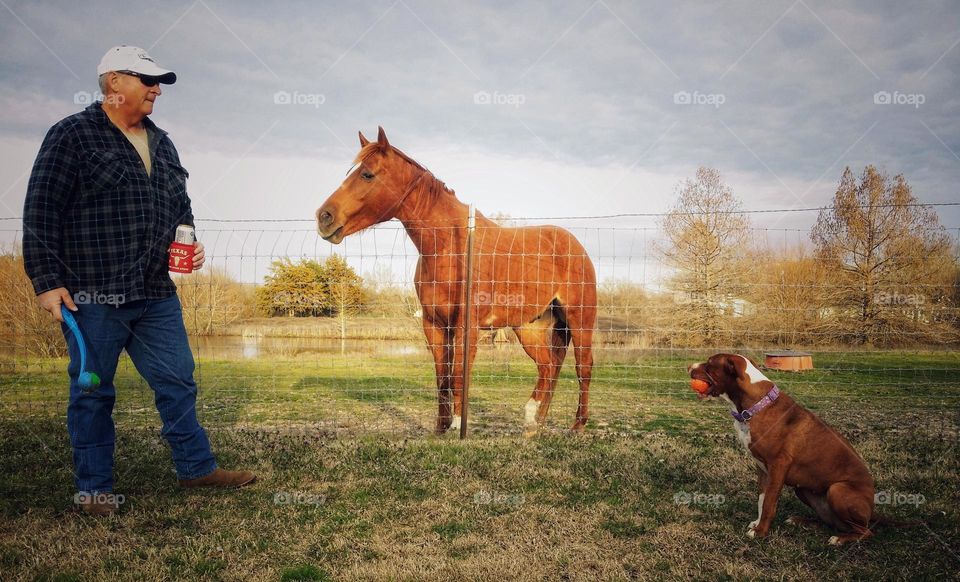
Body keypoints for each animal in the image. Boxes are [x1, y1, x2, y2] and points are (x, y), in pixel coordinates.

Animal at [318, 128, 596, 438]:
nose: (324, 217)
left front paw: (457, 428)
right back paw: (534, 424)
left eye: (367, 174)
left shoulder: (466, 328)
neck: (449, 245)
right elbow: (443, 377)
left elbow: (458, 376)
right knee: (548, 368)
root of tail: (575, 246)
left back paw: (577, 425)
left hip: (579, 320)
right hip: (530, 327)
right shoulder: (434, 326)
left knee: (583, 368)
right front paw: (441, 428)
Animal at [688, 354, 880, 548]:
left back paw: (840, 539)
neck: (756, 406)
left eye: (710, 364)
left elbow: (769, 503)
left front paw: (760, 533)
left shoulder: (778, 466)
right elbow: (761, 499)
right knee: (830, 522)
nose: (689, 367)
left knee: (865, 531)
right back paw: (802, 522)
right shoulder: (762, 468)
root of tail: (871, 512)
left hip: (837, 490)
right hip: (803, 489)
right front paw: (757, 524)